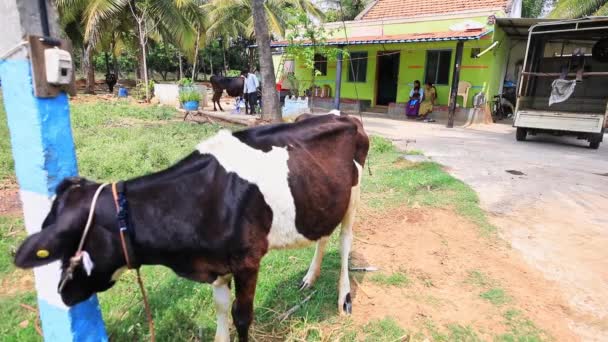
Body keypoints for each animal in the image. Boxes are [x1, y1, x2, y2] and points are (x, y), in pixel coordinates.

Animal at [14, 113, 370, 342]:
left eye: (68, 244)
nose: (62, 293)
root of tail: (344, 115)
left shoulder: (247, 261)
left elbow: (242, 316)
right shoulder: (215, 264)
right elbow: (221, 310)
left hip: (353, 196)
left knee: (345, 242)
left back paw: (344, 298)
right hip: (324, 199)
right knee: (323, 235)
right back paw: (310, 278)